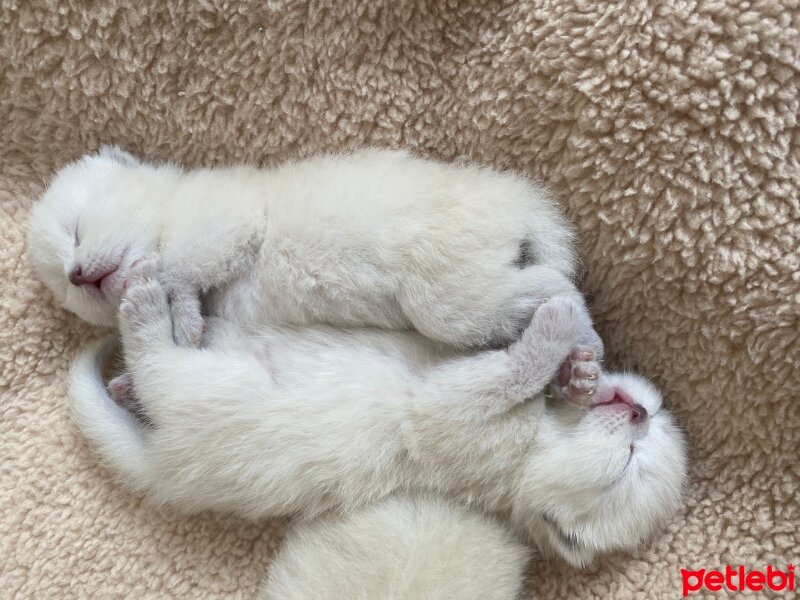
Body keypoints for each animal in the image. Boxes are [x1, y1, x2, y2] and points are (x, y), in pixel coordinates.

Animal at [26, 144, 600, 352]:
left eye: (76, 229)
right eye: (65, 287)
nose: (76, 274)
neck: (167, 211)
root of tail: (523, 204)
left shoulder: (221, 219)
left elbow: (177, 270)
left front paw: (185, 322)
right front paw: (187, 319)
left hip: (450, 296)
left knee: (555, 286)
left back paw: (586, 344)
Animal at [70, 260, 688, 568]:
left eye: (631, 463)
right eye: (648, 438)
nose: (640, 412)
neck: (538, 446)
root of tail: (161, 462)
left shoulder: (456, 414)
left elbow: (508, 369)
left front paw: (556, 325)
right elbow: (515, 360)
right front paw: (578, 368)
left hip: (207, 395)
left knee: (156, 361)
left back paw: (143, 313)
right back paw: (132, 370)